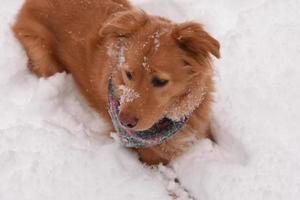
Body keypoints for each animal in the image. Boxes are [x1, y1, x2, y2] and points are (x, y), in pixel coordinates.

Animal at [12, 0, 219, 164]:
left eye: (160, 81)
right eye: (128, 74)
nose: (124, 121)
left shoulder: (203, 127)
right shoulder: (150, 158)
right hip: (43, 56)